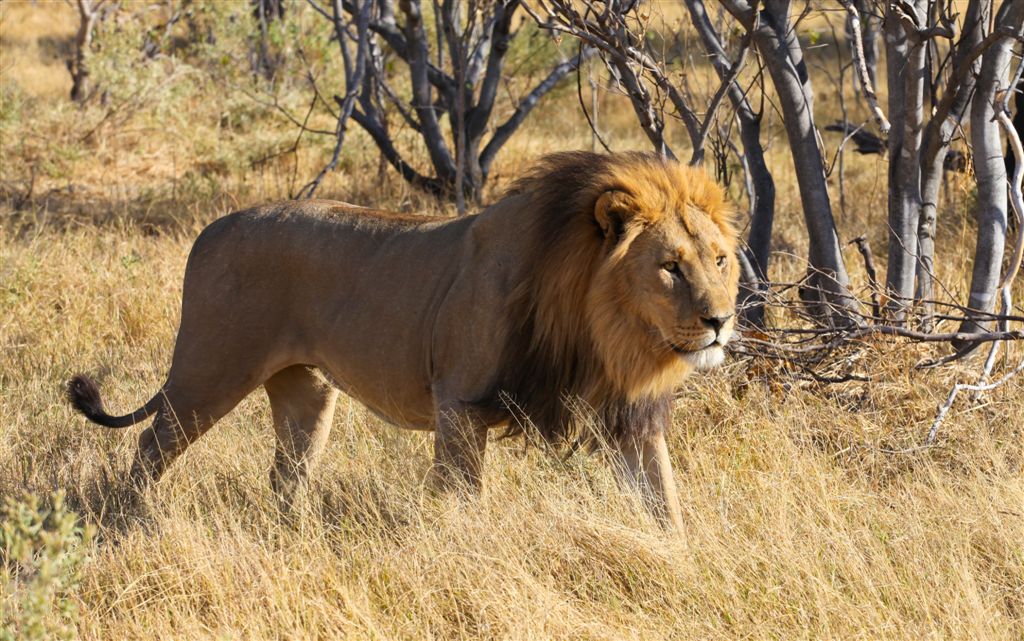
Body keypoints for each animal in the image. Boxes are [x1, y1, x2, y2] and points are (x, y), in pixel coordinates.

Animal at [66, 150, 737, 528]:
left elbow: (664, 505)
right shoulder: (460, 406)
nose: (721, 321)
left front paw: (681, 567)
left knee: (287, 476)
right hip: (208, 372)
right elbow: (464, 503)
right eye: (670, 267)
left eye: (720, 260)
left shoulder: (629, 417)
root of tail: (211, 228)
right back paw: (127, 526)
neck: (598, 331)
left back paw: (292, 539)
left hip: (308, 395)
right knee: (148, 451)